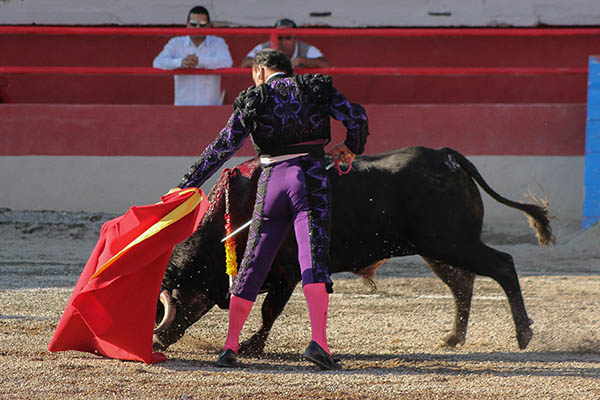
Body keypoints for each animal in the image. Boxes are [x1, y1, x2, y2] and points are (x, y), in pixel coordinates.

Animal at [154, 147, 552, 354]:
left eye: (178, 301)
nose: (156, 340)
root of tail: (447, 157)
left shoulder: (288, 272)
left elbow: (269, 310)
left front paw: (252, 345)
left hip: (452, 242)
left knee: (501, 265)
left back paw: (524, 335)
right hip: (438, 249)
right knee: (462, 284)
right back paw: (453, 337)